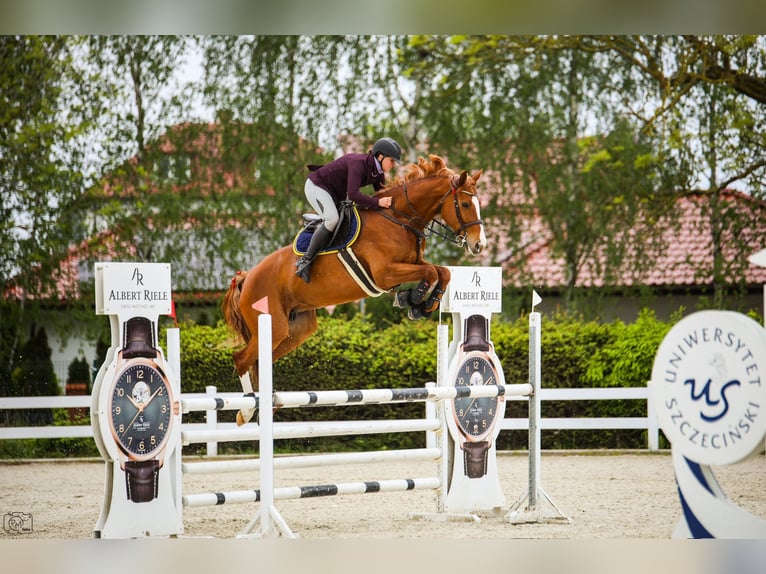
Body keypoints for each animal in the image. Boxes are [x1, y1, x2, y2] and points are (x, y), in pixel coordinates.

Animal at [222, 155, 486, 426]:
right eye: (466, 203)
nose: (478, 245)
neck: (399, 218)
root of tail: (246, 277)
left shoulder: (413, 263)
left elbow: (442, 272)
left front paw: (420, 303)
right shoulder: (385, 273)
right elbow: (432, 273)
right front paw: (413, 299)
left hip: (296, 329)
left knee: (259, 362)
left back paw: (266, 405)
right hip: (274, 324)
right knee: (241, 359)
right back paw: (246, 411)